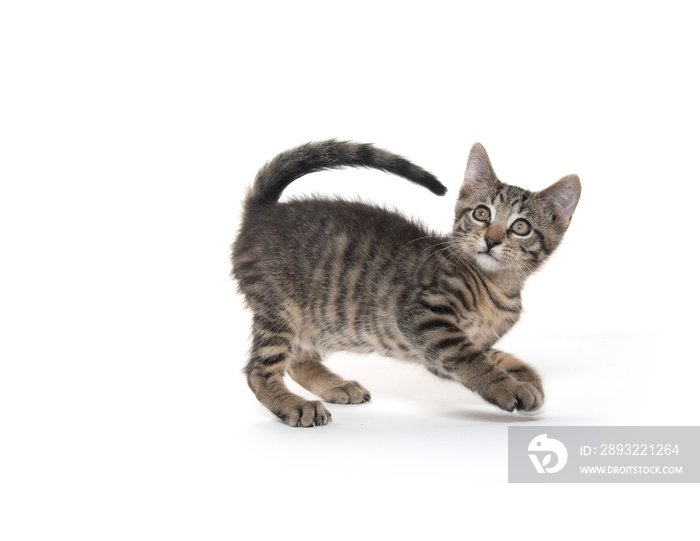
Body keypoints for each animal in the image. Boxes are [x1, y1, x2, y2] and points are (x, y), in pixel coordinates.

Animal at [232, 140, 584, 426]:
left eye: (521, 227)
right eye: (482, 214)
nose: (492, 240)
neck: (495, 287)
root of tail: (262, 213)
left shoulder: (446, 351)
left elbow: (492, 355)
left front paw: (527, 376)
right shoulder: (424, 318)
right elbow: (472, 360)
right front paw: (509, 386)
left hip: (312, 320)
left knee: (298, 360)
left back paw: (335, 386)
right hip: (279, 306)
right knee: (258, 369)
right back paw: (294, 405)